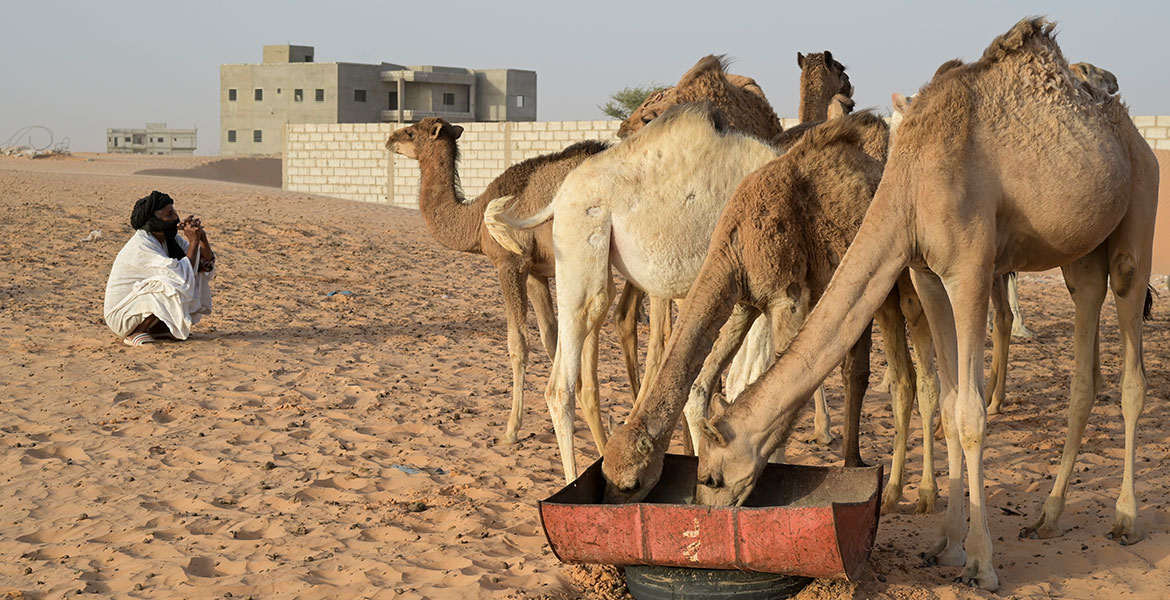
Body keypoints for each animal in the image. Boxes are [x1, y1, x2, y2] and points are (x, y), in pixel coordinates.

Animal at [388, 119, 617, 449]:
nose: (389, 139)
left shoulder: (510, 263)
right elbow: (551, 338)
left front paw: (511, 430)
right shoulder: (536, 272)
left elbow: (518, 343)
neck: (475, 219)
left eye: (411, 132)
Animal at [687, 18, 1155, 589]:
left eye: (711, 474)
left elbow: (972, 413)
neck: (909, 184)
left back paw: (1126, 518)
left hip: (1140, 207)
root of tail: (1131, 127)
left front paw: (981, 562)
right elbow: (950, 405)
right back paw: (1048, 515)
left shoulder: (970, 270)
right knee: (1084, 354)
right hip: (1081, 253)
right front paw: (946, 543)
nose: (704, 517)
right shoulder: (928, 276)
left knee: (1131, 357)